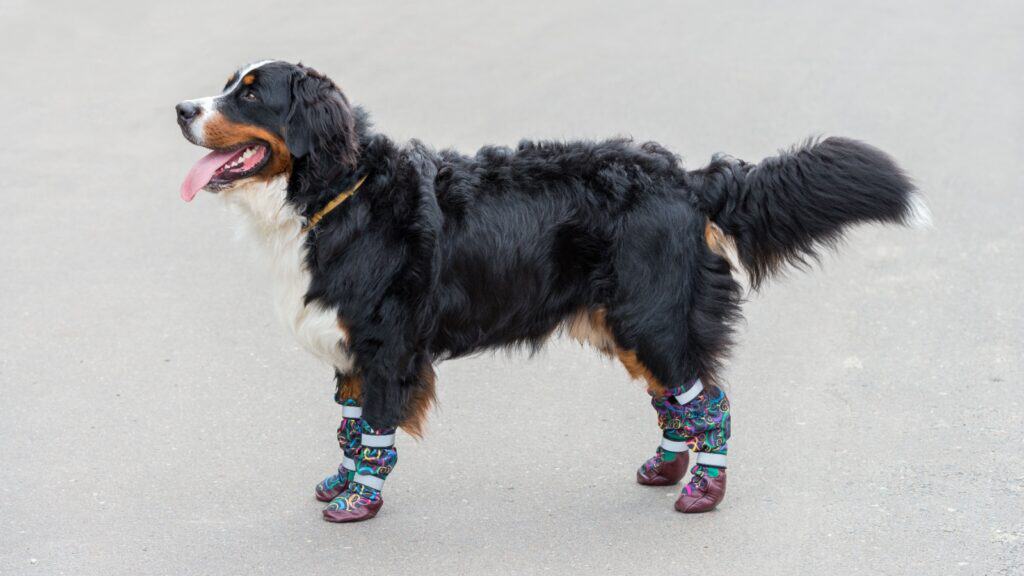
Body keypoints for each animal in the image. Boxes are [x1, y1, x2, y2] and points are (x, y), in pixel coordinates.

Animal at [174, 59, 929, 520]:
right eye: (226, 84)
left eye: (250, 93)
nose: (181, 107)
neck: (338, 192)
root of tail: (685, 177)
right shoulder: (349, 349)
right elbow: (349, 426)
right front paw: (338, 480)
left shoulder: (384, 345)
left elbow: (376, 432)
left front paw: (356, 502)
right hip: (627, 323)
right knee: (674, 403)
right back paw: (666, 469)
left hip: (652, 315)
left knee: (708, 401)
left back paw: (703, 489)